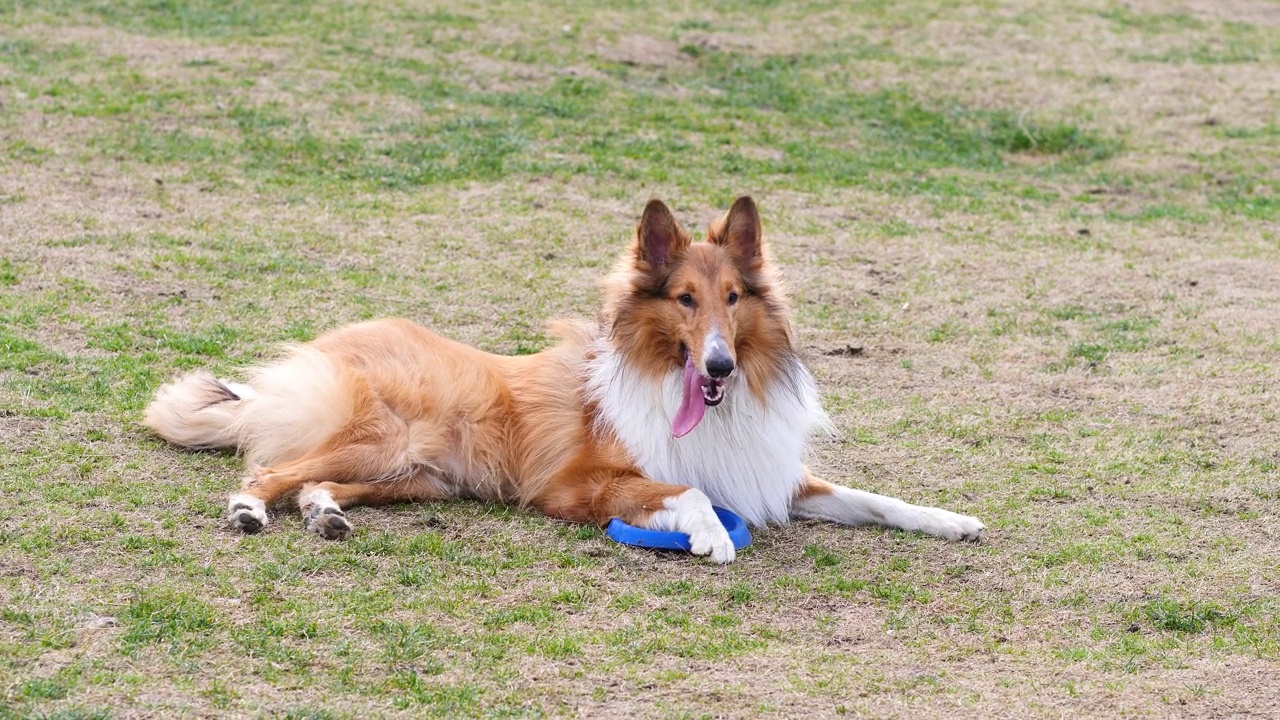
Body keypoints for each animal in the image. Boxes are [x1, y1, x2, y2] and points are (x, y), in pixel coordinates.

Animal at [147, 194, 988, 561]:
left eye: (734, 298)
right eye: (685, 300)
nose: (717, 363)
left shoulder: (771, 472)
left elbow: (873, 499)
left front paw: (951, 520)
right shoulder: (583, 484)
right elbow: (689, 491)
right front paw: (711, 536)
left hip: (417, 476)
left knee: (315, 483)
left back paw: (325, 515)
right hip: (384, 440)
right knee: (271, 470)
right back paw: (250, 511)